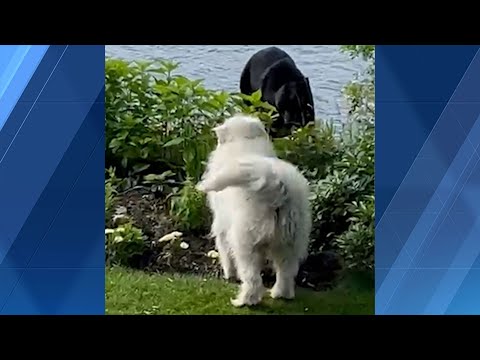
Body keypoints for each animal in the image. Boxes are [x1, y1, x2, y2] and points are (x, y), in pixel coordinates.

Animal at [195, 114, 312, 306]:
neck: (245, 143)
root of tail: (277, 185)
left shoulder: (221, 225)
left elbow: (225, 252)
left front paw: (228, 274)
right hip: (290, 241)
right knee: (286, 272)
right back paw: (281, 294)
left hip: (245, 242)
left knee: (252, 279)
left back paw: (245, 301)